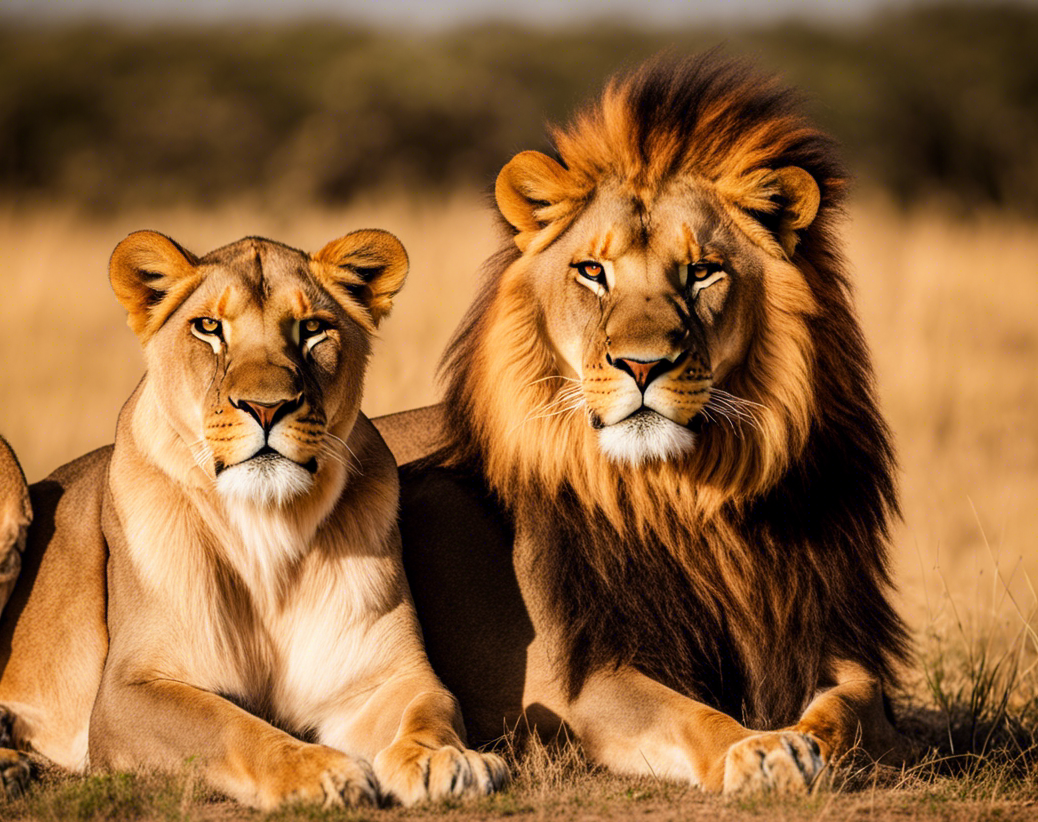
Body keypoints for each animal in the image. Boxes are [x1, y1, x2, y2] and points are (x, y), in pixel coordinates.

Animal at [0, 229, 507, 808]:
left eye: (312, 329)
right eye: (209, 328)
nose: (267, 408)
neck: (268, 533)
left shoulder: (384, 677)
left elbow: (432, 707)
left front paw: (445, 759)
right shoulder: (127, 692)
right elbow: (230, 726)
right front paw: (320, 772)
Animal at [374, 54, 911, 795]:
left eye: (702, 273)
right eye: (592, 272)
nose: (641, 364)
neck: (681, 498)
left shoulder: (831, 639)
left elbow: (851, 707)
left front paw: (806, 742)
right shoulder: (578, 681)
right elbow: (693, 715)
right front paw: (761, 749)